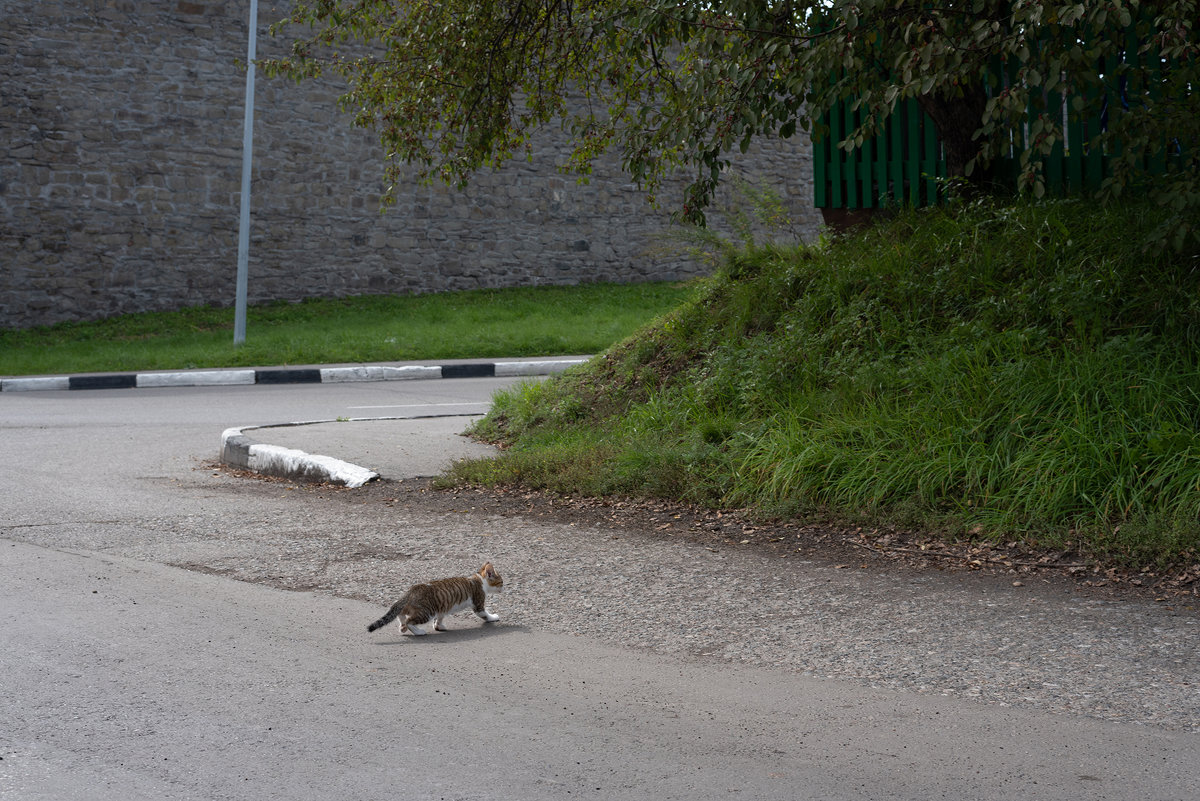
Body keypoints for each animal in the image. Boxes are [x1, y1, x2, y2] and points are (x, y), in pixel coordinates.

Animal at [360, 561, 501, 633]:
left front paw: (439, 626)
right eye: (501, 582)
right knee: (409, 621)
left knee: (400, 614)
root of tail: (411, 591)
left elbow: (440, 617)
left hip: (411, 608)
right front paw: (493, 617)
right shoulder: (478, 602)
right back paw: (418, 631)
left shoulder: (443, 607)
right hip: (426, 612)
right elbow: (484, 614)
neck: (479, 579)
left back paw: (402, 627)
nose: (503, 588)